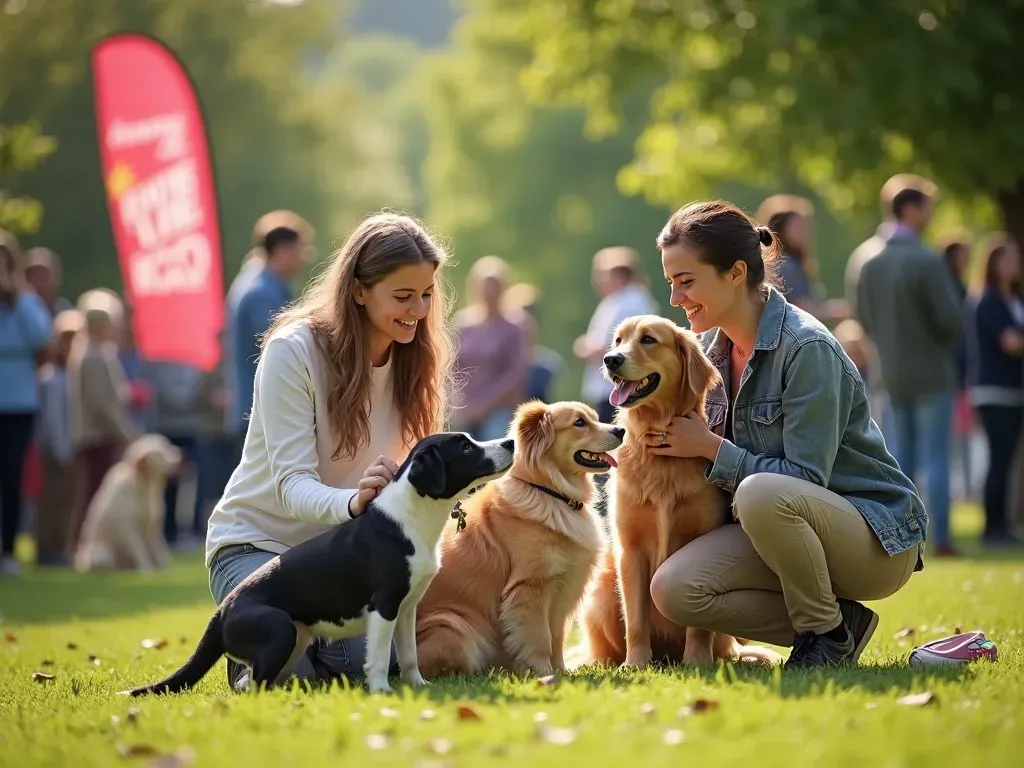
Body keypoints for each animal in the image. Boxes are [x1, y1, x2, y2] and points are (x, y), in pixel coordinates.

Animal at [74, 436, 182, 573]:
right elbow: (141, 550)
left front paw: (166, 571)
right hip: (102, 554)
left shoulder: (153, 527)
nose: (182, 456)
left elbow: (161, 552)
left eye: (169, 446)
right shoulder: (130, 529)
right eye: (161, 453)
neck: (143, 487)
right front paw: (148, 571)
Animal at [120, 434, 516, 696]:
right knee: (256, 684)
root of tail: (222, 610)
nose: (510, 442)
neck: (412, 518)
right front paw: (381, 691)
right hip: (280, 630)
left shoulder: (407, 608)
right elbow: (377, 655)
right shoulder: (385, 605)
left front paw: (417, 686)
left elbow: (409, 655)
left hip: (295, 638)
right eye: (465, 447)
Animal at [415, 399, 622, 675]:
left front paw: (560, 672)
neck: (551, 493)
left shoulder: (562, 590)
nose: (620, 430)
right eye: (579, 422)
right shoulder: (529, 587)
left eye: (595, 418)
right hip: (456, 630)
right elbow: (538, 637)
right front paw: (542, 672)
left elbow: (556, 636)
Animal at [577, 315, 782, 671]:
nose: (610, 359)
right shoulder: (630, 550)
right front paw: (635, 664)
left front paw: (697, 661)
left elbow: (698, 626)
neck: (658, 445)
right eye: (618, 340)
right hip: (601, 591)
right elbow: (636, 618)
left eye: (648, 339)